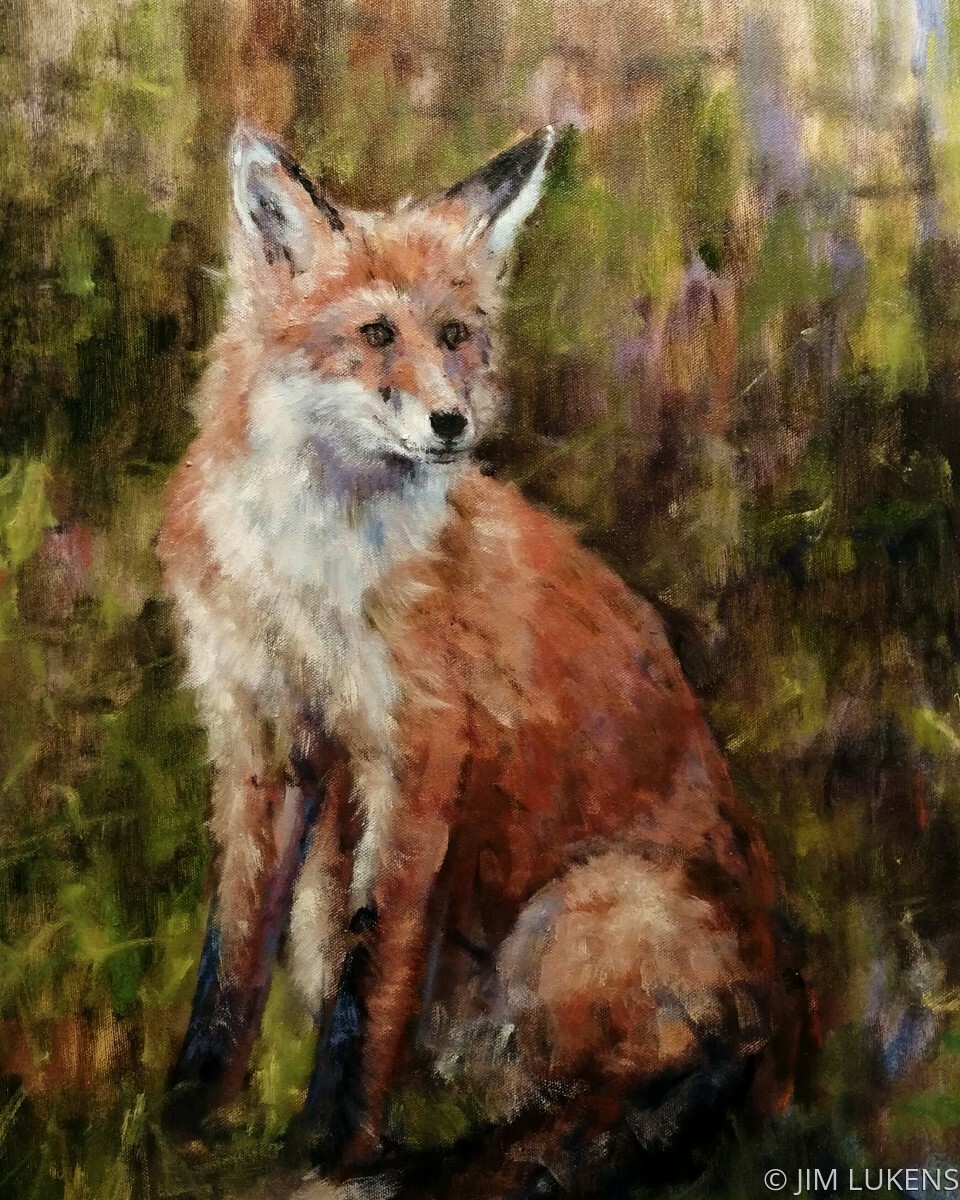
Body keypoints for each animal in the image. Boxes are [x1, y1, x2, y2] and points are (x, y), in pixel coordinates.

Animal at [157, 122, 807, 1197]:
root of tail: (791, 1017)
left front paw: (330, 1145)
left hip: (580, 914)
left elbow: (371, 970)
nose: (453, 426)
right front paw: (190, 1116)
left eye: (458, 336)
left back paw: (492, 1160)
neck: (310, 573)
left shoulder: (418, 749)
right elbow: (235, 946)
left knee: (650, 1086)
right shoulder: (261, 735)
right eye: (379, 333)